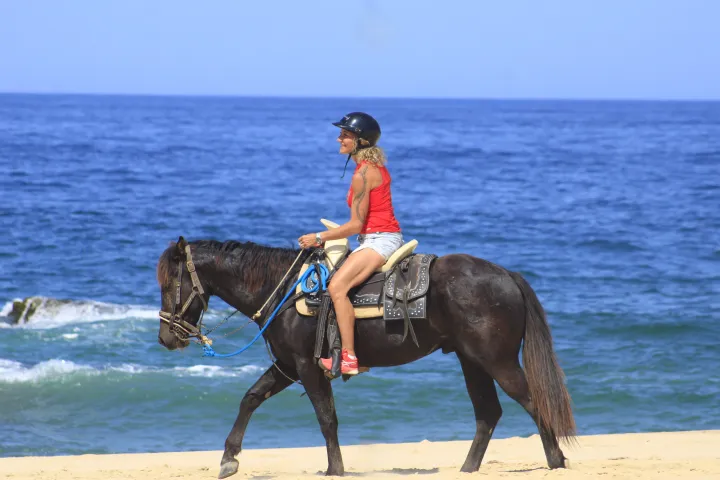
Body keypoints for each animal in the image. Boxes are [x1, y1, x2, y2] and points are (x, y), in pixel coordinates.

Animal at [156, 236, 576, 479]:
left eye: (169, 283)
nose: (166, 337)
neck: (284, 290)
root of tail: (507, 275)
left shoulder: (307, 367)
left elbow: (326, 418)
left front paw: (335, 469)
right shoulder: (288, 366)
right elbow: (251, 398)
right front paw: (229, 458)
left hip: (498, 361)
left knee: (533, 402)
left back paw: (556, 461)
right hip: (472, 361)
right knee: (488, 412)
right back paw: (468, 468)